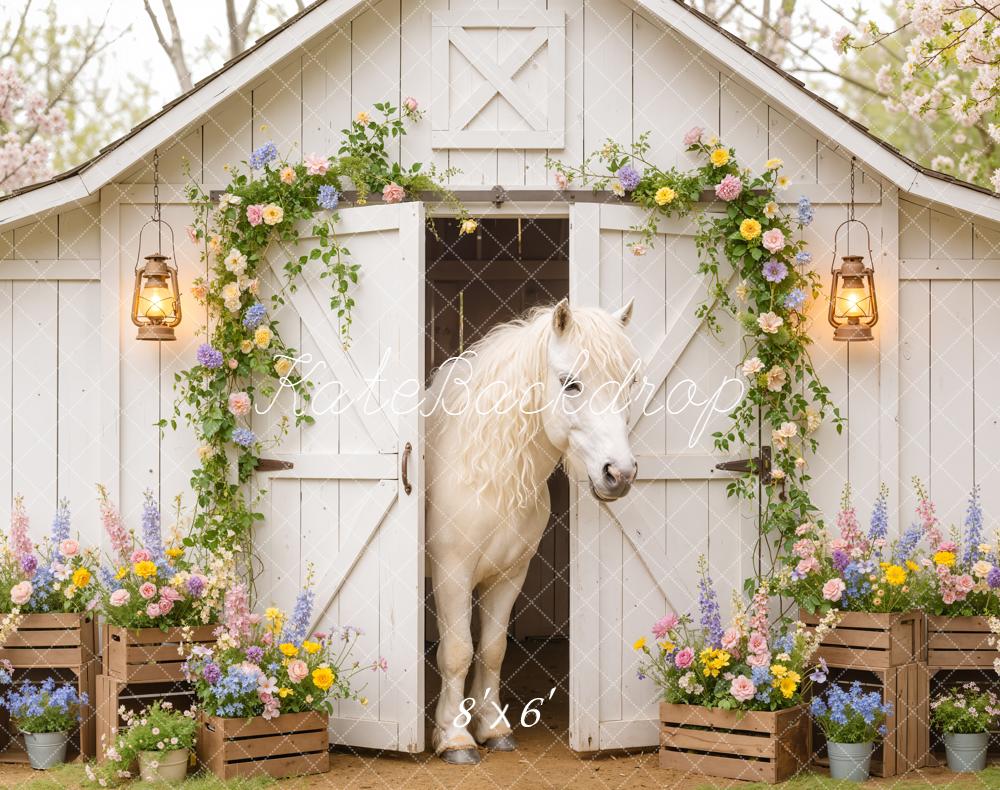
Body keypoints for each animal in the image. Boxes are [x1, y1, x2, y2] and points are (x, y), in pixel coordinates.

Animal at [426, 298, 640, 764]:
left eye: (629, 383)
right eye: (570, 384)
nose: (619, 474)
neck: (488, 476)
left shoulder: (509, 575)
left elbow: (492, 649)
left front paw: (492, 727)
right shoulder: (452, 573)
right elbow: (457, 651)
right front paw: (454, 737)